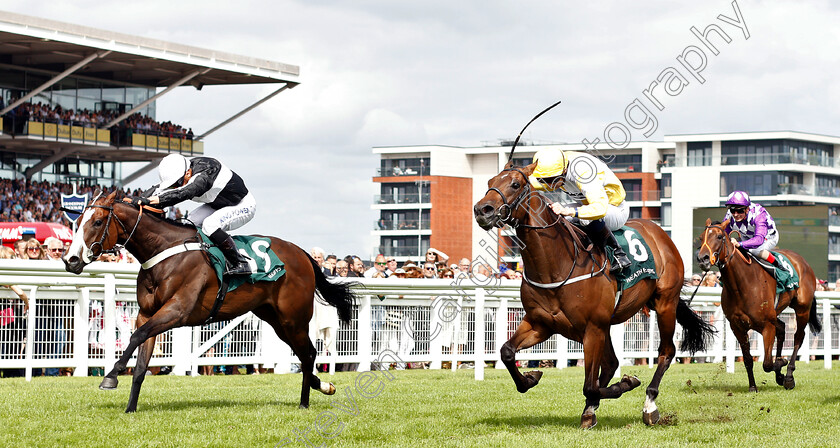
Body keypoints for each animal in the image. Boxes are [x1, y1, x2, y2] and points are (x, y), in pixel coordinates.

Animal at [60, 190, 356, 412]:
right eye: (79, 220)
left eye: (97, 222)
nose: (70, 259)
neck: (164, 252)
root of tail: (303, 254)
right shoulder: (146, 313)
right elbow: (142, 363)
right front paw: (130, 408)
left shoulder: (177, 311)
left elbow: (136, 337)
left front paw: (111, 376)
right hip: (275, 320)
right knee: (307, 354)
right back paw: (322, 386)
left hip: (293, 319)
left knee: (308, 354)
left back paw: (306, 401)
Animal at [476, 163, 712, 428]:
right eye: (489, 182)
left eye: (515, 184)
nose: (482, 210)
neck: (556, 266)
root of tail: (659, 233)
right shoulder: (542, 324)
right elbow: (507, 352)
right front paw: (531, 377)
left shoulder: (592, 327)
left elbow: (590, 385)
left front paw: (626, 383)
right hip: (606, 324)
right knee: (611, 363)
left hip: (664, 304)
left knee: (666, 351)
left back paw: (649, 404)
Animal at [696, 219, 820, 390]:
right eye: (701, 238)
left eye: (719, 236)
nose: (703, 259)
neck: (742, 284)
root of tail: (803, 261)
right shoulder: (737, 327)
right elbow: (748, 359)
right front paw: (753, 386)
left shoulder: (767, 325)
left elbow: (767, 363)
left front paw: (781, 365)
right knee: (782, 329)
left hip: (802, 309)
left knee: (798, 338)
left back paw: (788, 376)